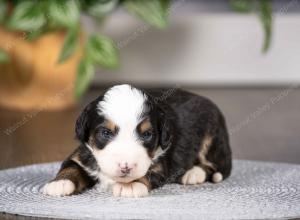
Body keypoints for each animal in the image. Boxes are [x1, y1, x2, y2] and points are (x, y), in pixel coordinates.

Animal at [42, 84, 232, 198]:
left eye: (147, 134)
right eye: (105, 132)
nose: (126, 167)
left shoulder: (160, 164)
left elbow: (147, 173)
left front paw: (130, 186)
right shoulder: (82, 154)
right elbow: (70, 167)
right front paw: (59, 183)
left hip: (212, 138)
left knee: (217, 166)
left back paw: (193, 173)